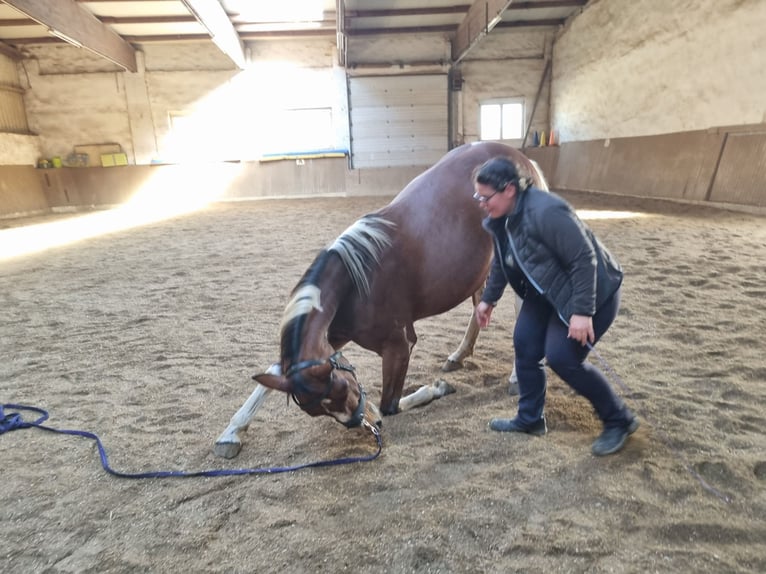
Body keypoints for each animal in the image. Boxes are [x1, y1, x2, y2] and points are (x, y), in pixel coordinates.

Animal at [214, 141, 547, 458]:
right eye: (319, 409)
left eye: (343, 387)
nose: (367, 423)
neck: (357, 283)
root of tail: (520, 159)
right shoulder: (333, 337)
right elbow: (273, 371)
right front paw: (232, 432)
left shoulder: (399, 346)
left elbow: (392, 404)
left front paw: (434, 390)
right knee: (481, 307)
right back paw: (459, 354)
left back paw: (515, 375)